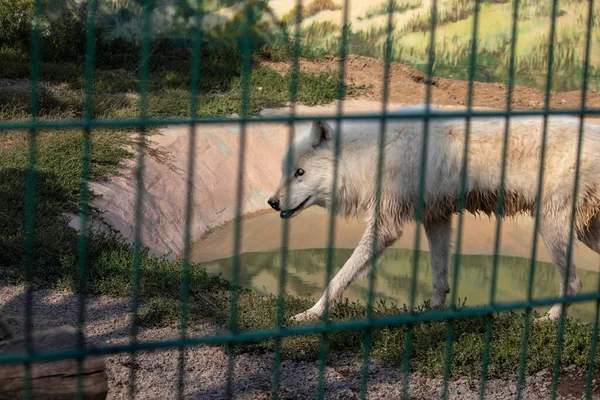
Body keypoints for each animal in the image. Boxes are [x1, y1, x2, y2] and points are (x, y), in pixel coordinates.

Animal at [270, 104, 600, 324]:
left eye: (300, 173)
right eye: (287, 171)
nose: (272, 202)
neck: (369, 154)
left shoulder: (386, 226)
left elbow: (339, 277)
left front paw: (311, 313)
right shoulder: (436, 218)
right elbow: (440, 277)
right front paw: (433, 313)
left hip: (551, 227)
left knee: (574, 284)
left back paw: (548, 321)